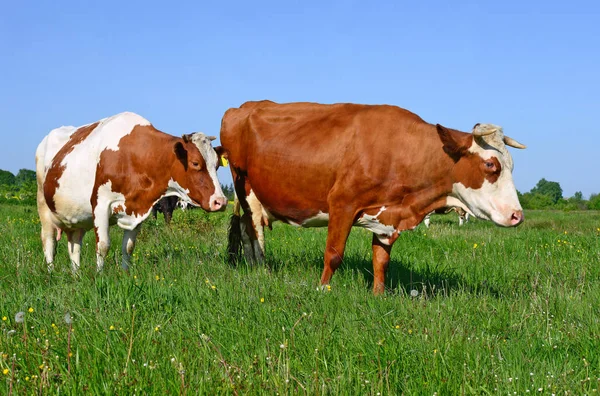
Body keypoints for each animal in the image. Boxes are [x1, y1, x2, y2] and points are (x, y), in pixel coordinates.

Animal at [35, 111, 227, 272]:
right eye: (195, 163)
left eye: (217, 164)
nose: (221, 201)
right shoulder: (100, 204)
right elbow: (103, 245)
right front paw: (99, 276)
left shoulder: (139, 208)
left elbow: (128, 247)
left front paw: (126, 274)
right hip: (44, 207)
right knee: (48, 242)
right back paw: (51, 273)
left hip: (75, 218)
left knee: (74, 245)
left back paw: (76, 275)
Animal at [221, 100, 524, 294]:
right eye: (490, 165)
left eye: (511, 165)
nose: (517, 216)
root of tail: (243, 107)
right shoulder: (342, 203)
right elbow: (333, 254)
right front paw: (322, 289)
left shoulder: (389, 216)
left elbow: (381, 260)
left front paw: (378, 294)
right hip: (245, 188)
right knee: (254, 231)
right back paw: (262, 269)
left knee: (247, 229)